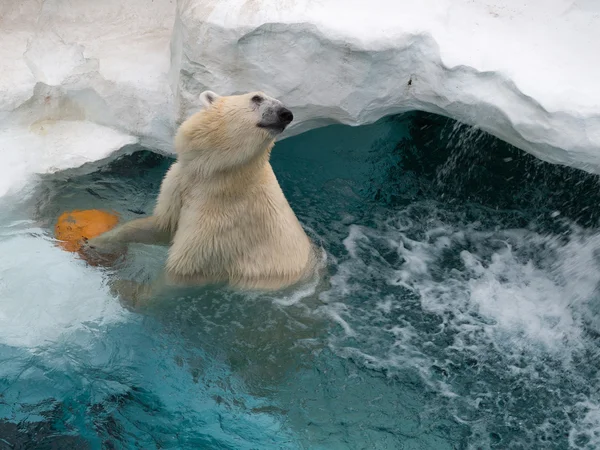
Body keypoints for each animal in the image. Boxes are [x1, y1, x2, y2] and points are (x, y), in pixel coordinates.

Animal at [87, 89, 318, 292]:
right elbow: (161, 226)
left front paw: (128, 289)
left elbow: (181, 271)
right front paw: (97, 242)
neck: (221, 177)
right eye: (257, 97)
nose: (286, 114)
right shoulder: (179, 184)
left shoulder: (223, 224)